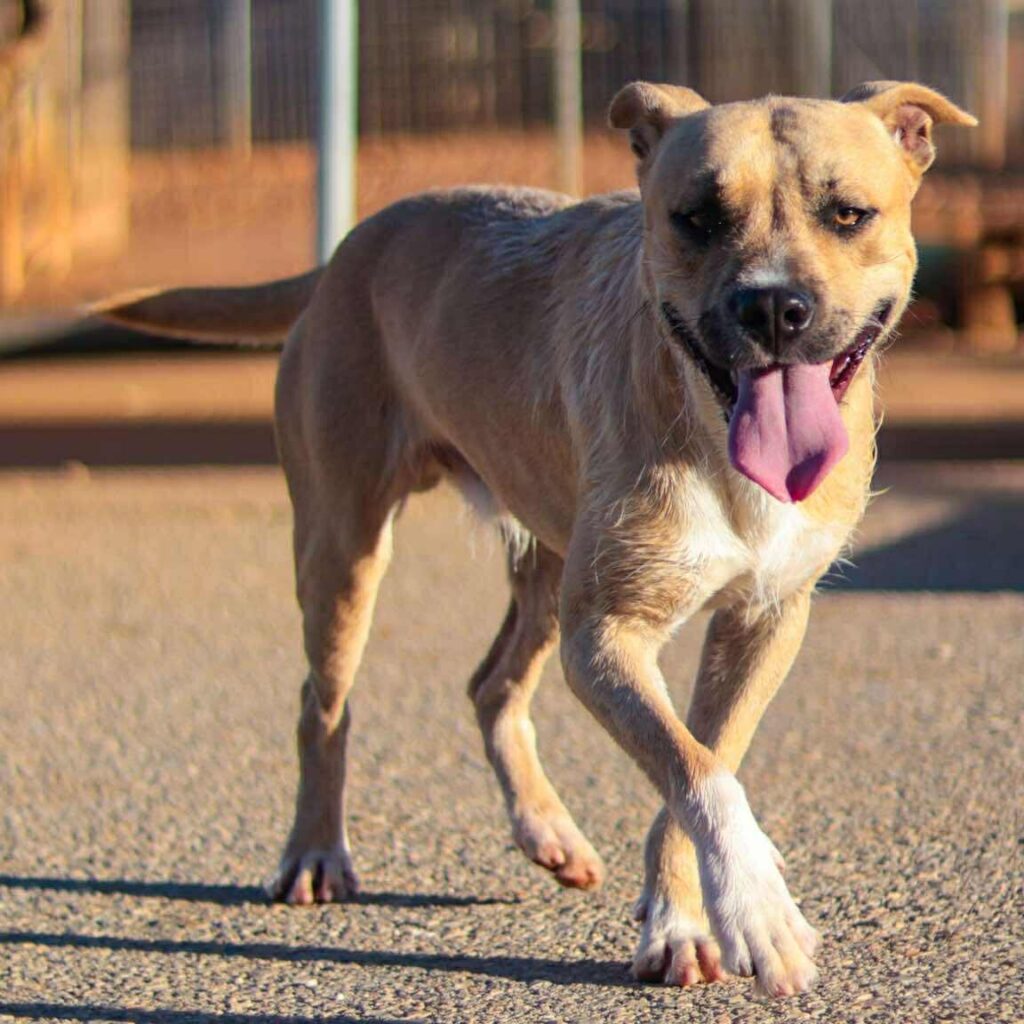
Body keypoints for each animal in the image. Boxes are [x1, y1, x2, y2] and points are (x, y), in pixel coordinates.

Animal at [97, 81, 975, 996]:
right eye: (696, 217)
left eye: (848, 214)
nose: (770, 304)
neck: (706, 423)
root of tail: (352, 245)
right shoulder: (605, 636)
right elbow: (697, 773)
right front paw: (756, 911)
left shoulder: (764, 620)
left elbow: (698, 765)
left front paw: (680, 917)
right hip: (344, 550)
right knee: (321, 704)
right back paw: (313, 853)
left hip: (547, 569)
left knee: (490, 686)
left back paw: (546, 829)